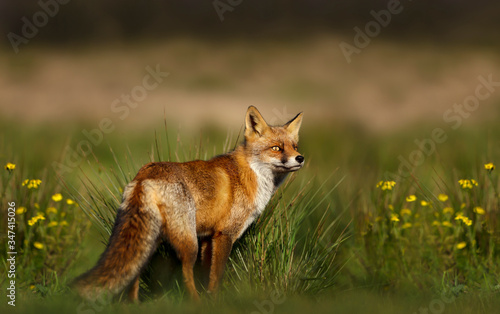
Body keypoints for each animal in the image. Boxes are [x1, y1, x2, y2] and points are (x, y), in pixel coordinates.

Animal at [72, 106, 302, 302]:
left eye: (294, 146)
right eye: (276, 148)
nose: (300, 158)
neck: (250, 174)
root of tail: (144, 174)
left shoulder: (209, 237)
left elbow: (206, 275)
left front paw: (210, 298)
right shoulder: (224, 234)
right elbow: (216, 276)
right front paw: (214, 302)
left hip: (152, 240)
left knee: (134, 271)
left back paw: (133, 305)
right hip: (188, 241)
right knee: (184, 272)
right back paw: (194, 303)